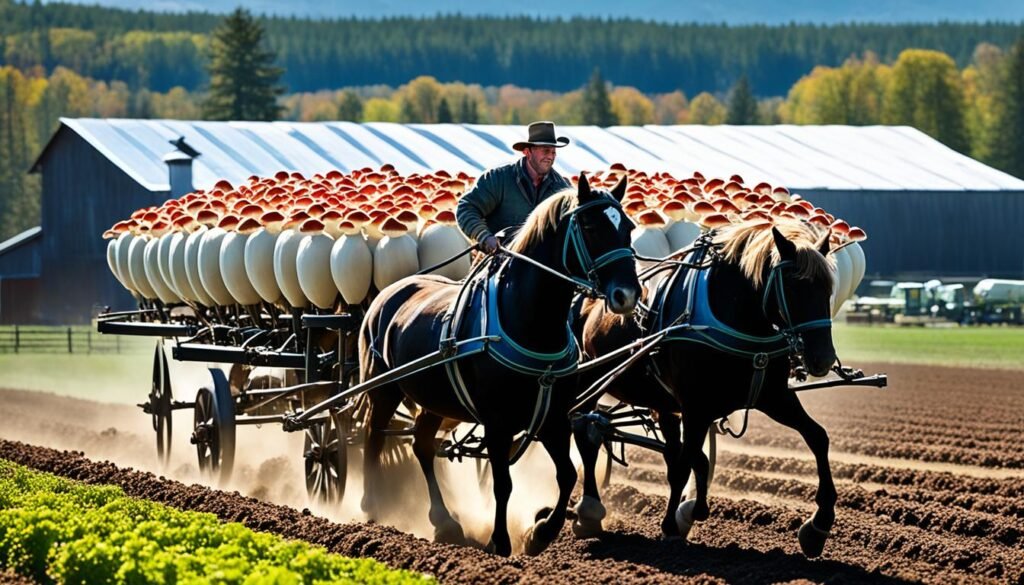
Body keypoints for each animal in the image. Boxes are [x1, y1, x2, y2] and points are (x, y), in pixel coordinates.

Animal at [360, 175, 638, 557]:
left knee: (422, 445)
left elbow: (567, 474)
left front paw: (541, 532)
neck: (529, 321)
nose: (629, 295)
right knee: (373, 438)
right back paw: (372, 505)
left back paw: (444, 522)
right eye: (591, 226)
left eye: (627, 227)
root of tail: (387, 294)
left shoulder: (552, 417)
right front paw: (500, 541)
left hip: (434, 401)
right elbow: (503, 482)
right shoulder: (497, 421)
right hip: (383, 389)